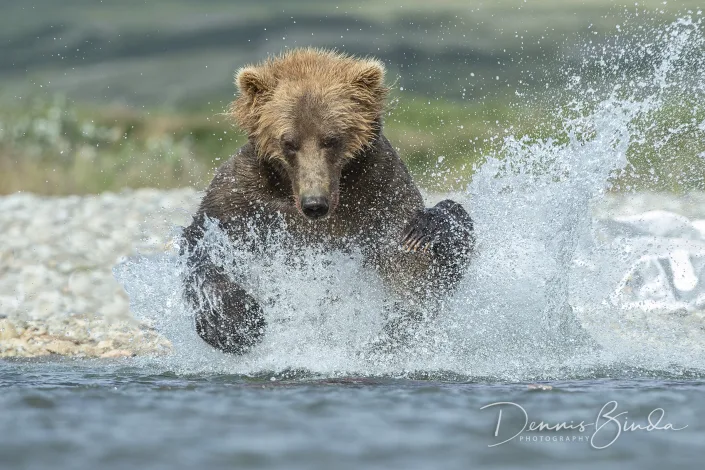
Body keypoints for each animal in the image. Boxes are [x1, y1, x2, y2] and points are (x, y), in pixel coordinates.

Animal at [182, 48, 475, 354]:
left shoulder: (380, 189)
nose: (315, 204)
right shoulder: (245, 193)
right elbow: (204, 241)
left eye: (331, 139)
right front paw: (234, 321)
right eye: (289, 142)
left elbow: (408, 268)